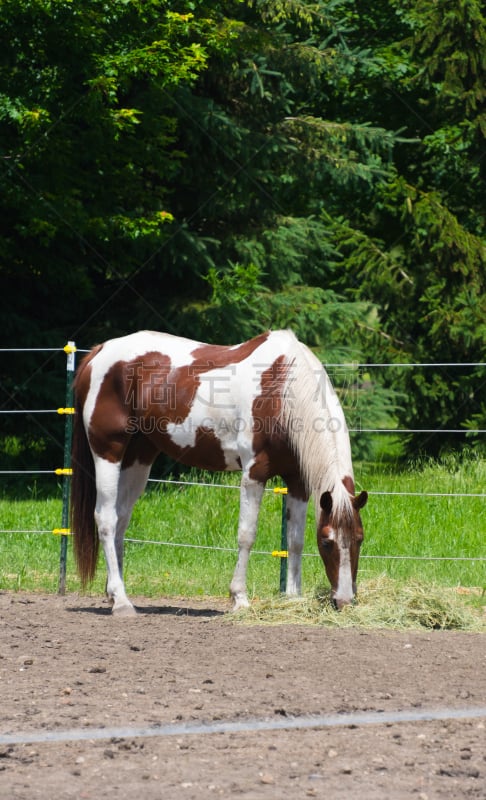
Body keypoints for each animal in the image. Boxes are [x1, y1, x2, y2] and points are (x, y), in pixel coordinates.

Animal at [71, 328, 368, 616]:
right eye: (327, 542)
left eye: (359, 539)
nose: (344, 601)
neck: (282, 392)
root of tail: (99, 352)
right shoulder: (254, 473)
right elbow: (246, 535)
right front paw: (239, 598)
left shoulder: (298, 482)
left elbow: (295, 541)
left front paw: (293, 598)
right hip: (108, 453)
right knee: (106, 519)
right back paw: (121, 603)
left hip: (139, 457)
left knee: (121, 518)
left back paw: (115, 593)